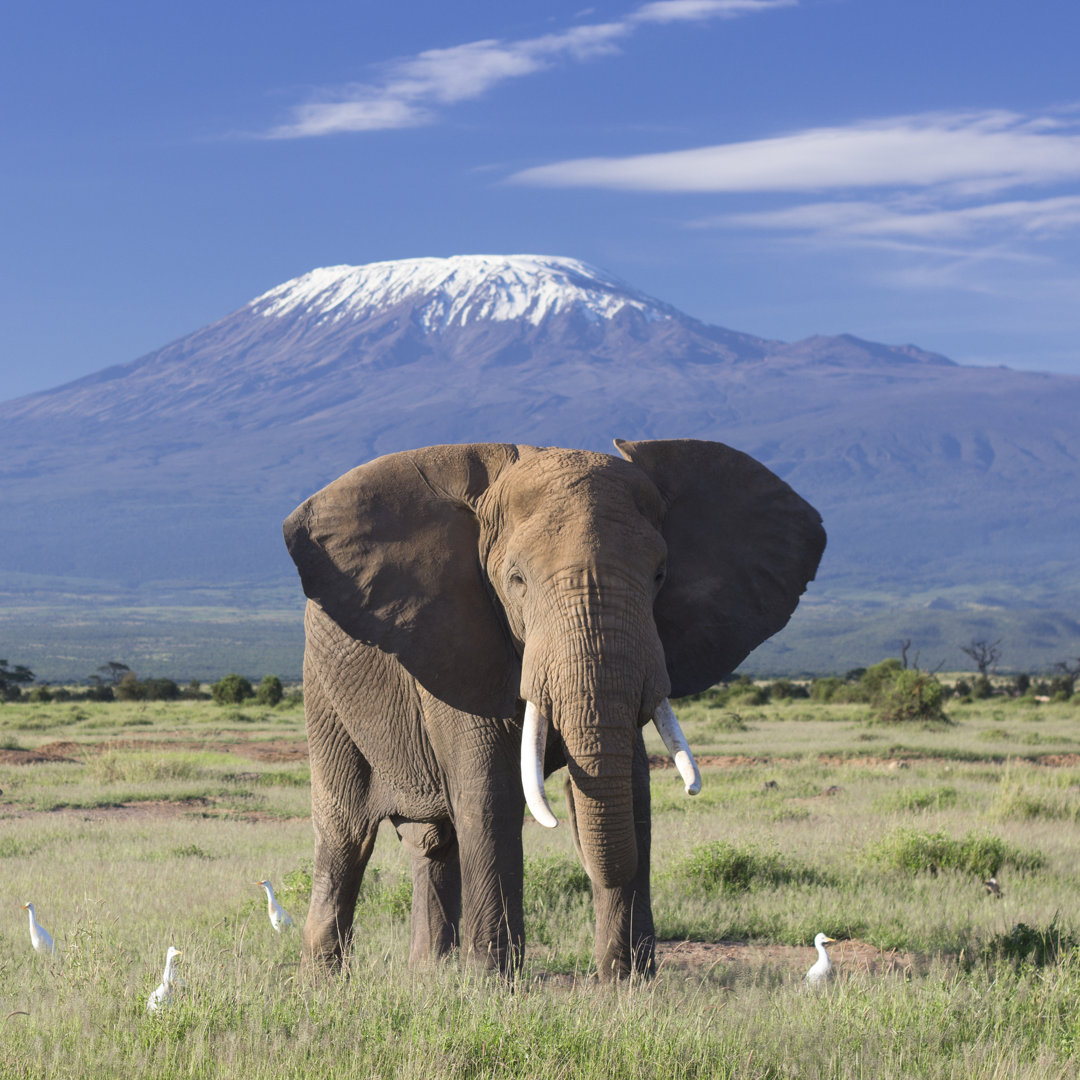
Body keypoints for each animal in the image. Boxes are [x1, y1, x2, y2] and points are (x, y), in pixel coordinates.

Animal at [282, 436, 820, 980]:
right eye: (516, 579)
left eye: (659, 574)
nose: (566, 806)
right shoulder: (456, 642)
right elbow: (489, 796)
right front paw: (492, 982)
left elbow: (633, 787)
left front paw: (627, 982)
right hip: (322, 692)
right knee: (345, 834)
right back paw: (325, 978)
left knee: (431, 844)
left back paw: (429, 972)